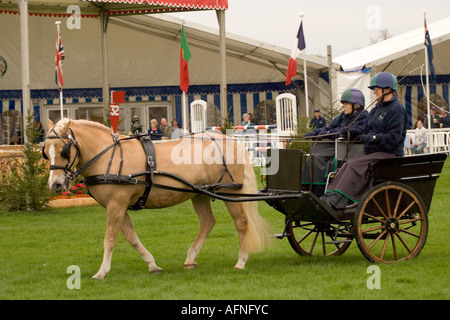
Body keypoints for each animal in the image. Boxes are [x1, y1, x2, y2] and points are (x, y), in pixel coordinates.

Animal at [44, 119, 272, 278]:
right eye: (45, 151)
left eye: (64, 151)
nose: (55, 185)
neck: (109, 156)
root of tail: (229, 140)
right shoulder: (119, 206)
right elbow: (131, 237)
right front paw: (152, 265)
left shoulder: (116, 204)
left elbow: (110, 239)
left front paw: (101, 271)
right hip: (200, 194)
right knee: (208, 222)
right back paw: (190, 258)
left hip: (229, 192)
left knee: (241, 223)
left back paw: (241, 261)